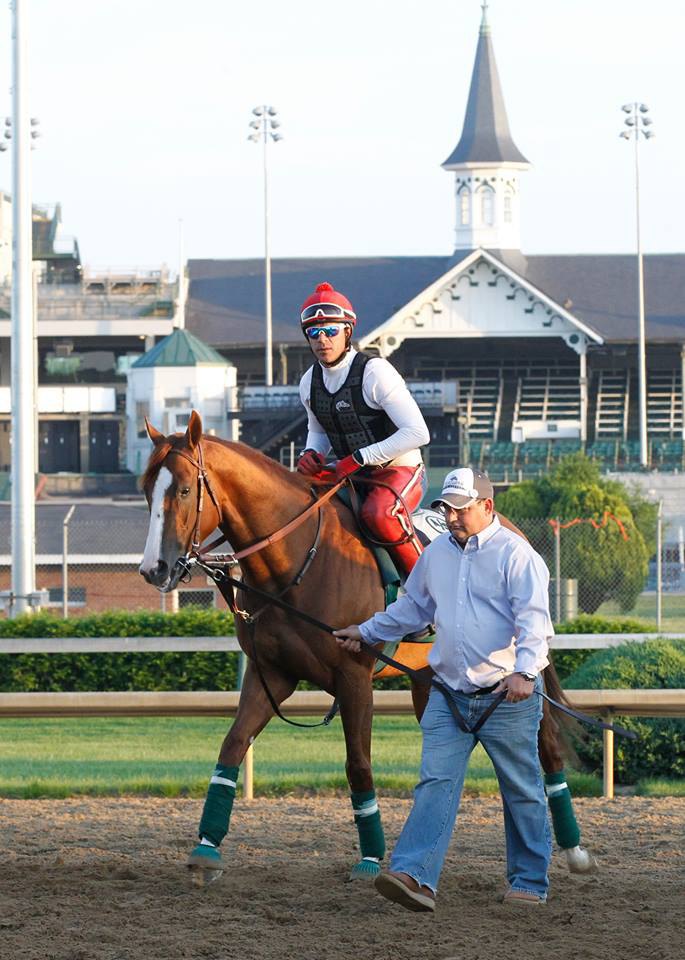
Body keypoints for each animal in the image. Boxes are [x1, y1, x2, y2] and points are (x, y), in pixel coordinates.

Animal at [138, 412, 592, 884]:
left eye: (184, 489)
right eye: (146, 488)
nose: (154, 569)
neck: (299, 560)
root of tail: (515, 531)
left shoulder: (354, 679)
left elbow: (358, 765)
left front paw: (371, 857)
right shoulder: (273, 676)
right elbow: (232, 746)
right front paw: (206, 849)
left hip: (517, 680)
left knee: (546, 748)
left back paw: (573, 849)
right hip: (431, 683)